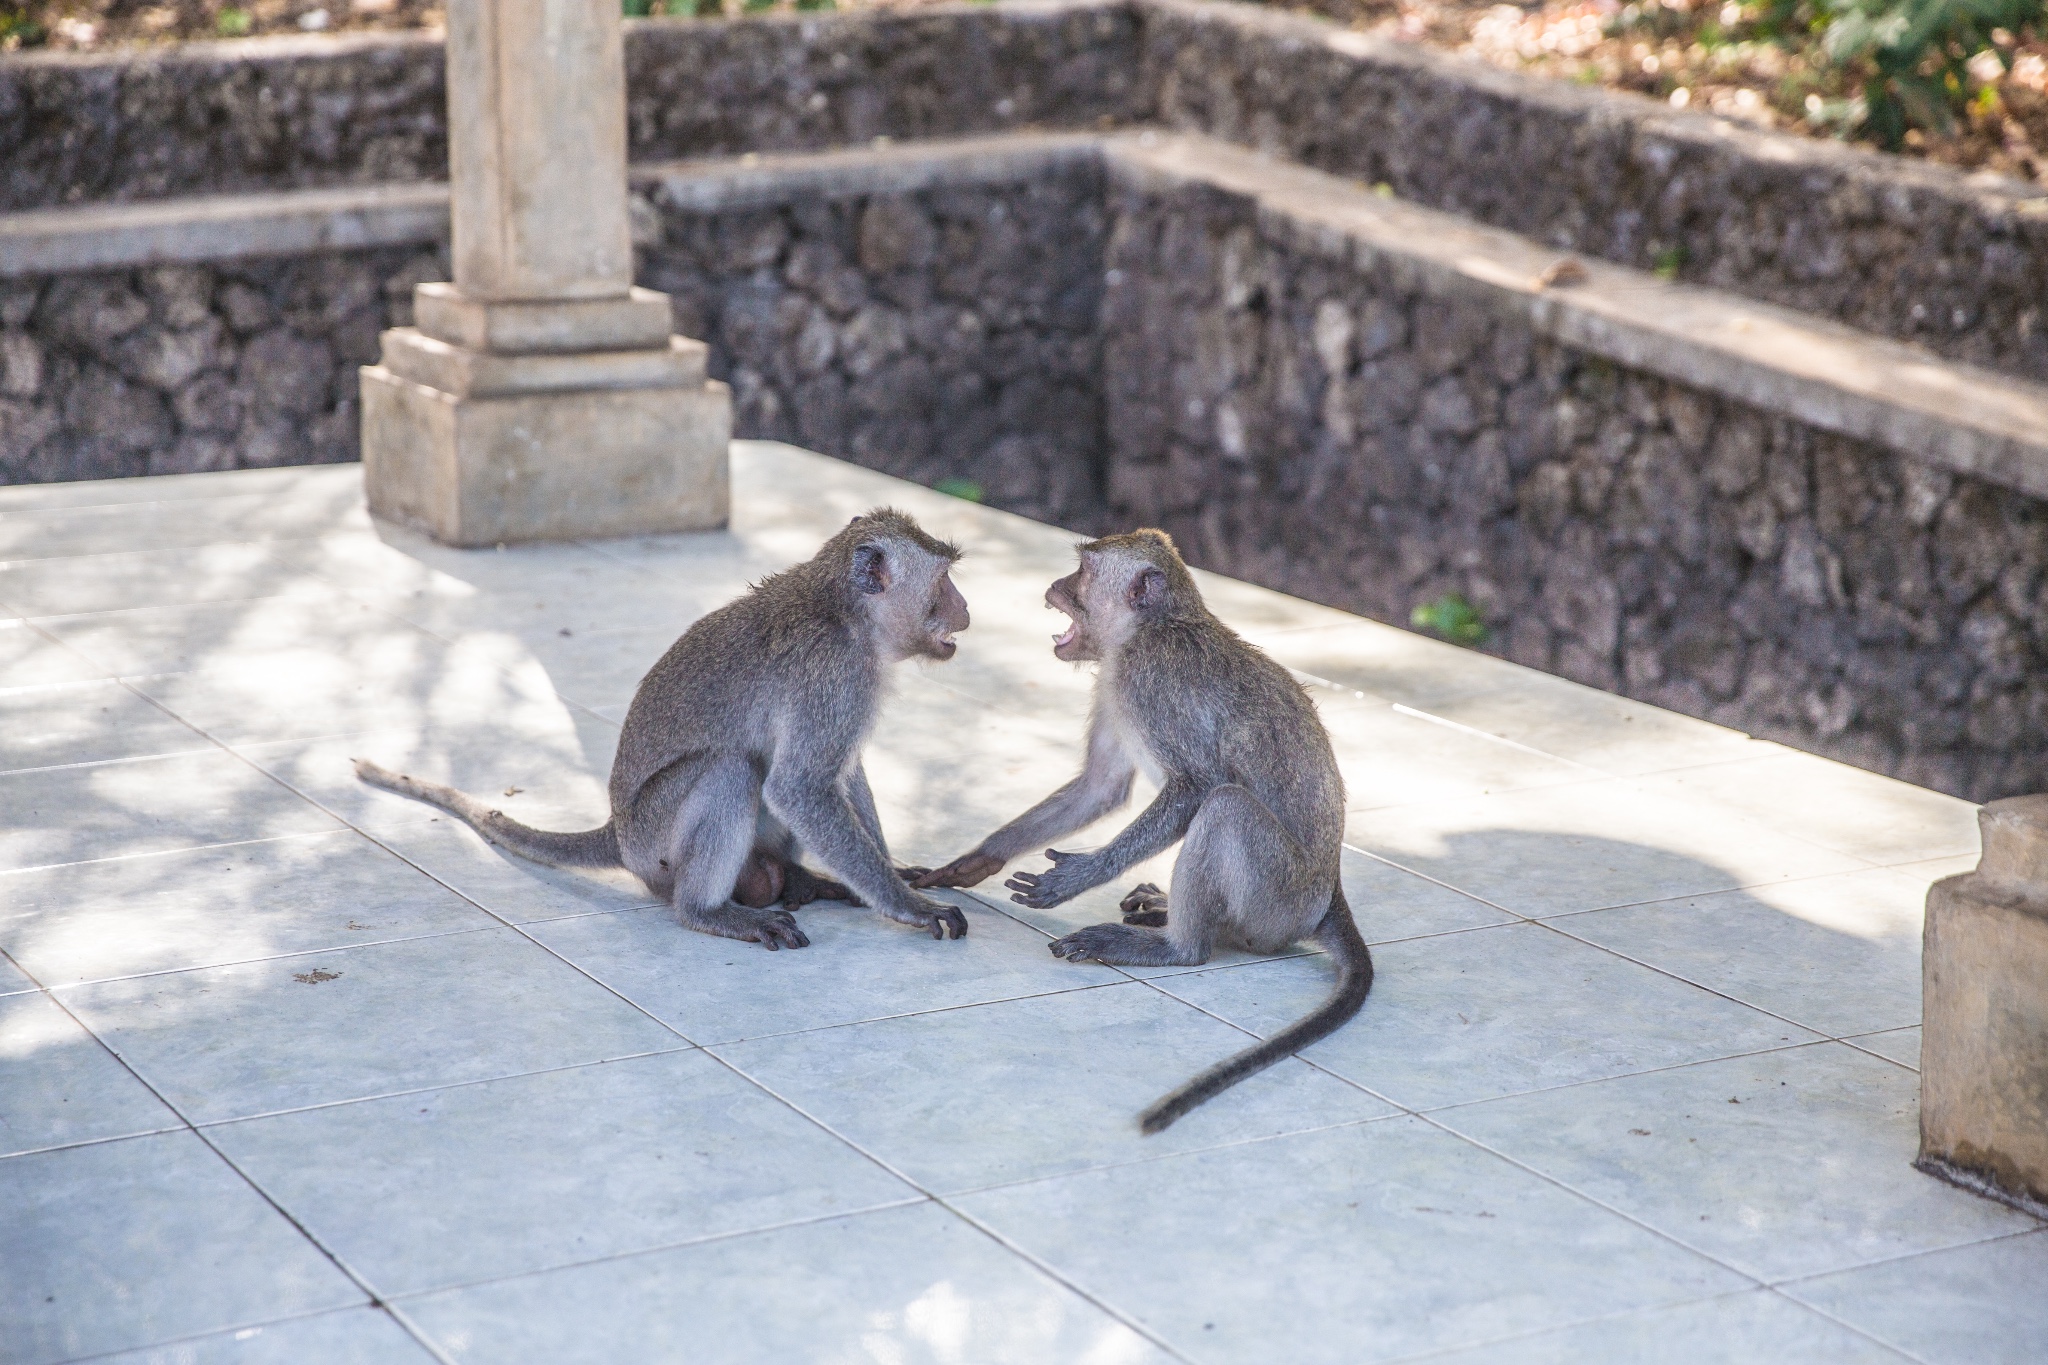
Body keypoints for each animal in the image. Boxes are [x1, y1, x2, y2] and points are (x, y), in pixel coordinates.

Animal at [356, 509, 970, 949]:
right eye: (944, 582)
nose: (966, 610)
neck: (843, 611)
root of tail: (616, 829)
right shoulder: (836, 675)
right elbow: (800, 786)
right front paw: (909, 906)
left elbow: (841, 774)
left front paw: (893, 871)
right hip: (652, 841)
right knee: (730, 771)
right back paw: (709, 911)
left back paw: (803, 879)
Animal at [917, 527, 1368, 1129]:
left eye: (1082, 572)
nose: (1053, 586)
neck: (1154, 627)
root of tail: (1327, 897)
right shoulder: (1113, 682)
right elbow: (1100, 786)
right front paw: (971, 862)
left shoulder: (1147, 677)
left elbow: (1197, 786)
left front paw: (1077, 877)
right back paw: (1164, 912)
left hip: (1277, 900)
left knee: (1225, 806)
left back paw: (1178, 946)